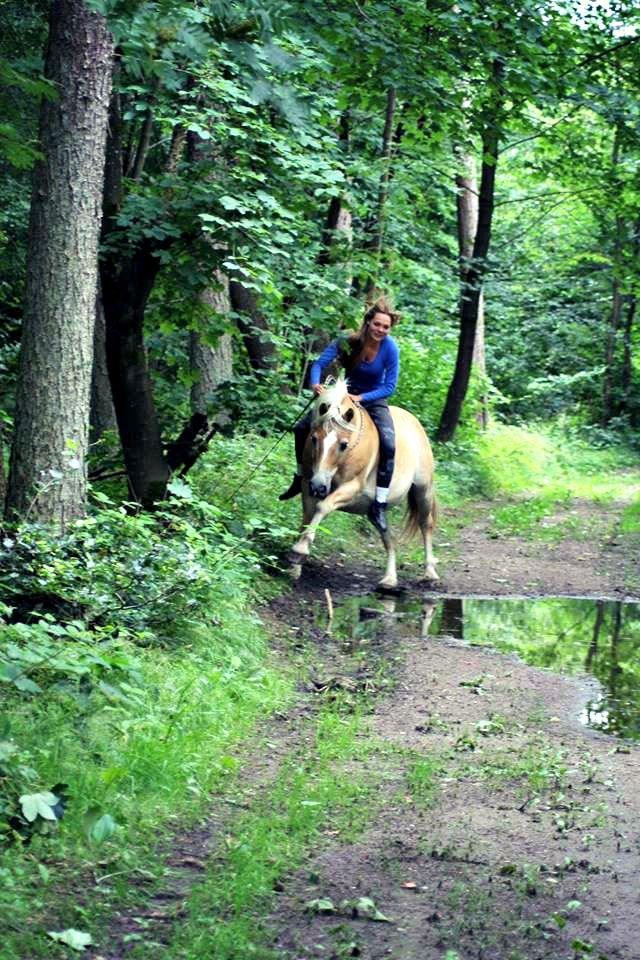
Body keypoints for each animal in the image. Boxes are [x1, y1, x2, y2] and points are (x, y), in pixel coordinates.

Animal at [288, 378, 438, 588]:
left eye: (343, 445)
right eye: (314, 438)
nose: (319, 486)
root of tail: (415, 423)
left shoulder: (351, 488)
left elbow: (322, 507)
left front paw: (300, 550)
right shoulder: (308, 485)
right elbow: (307, 517)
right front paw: (295, 566)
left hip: (423, 490)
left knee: (426, 524)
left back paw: (430, 572)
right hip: (372, 511)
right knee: (389, 538)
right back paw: (389, 579)